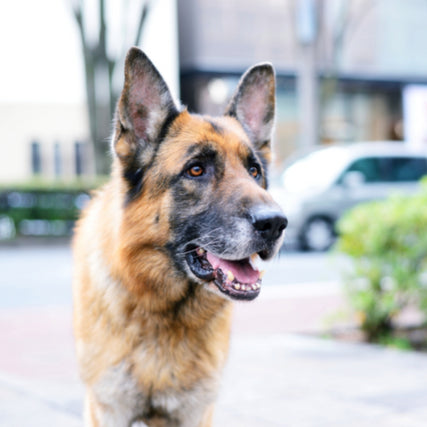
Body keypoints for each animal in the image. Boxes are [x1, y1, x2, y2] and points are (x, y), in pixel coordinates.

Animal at [73, 47, 288, 427]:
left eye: (254, 171)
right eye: (196, 170)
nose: (276, 223)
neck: (162, 309)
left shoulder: (196, 412)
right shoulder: (106, 409)